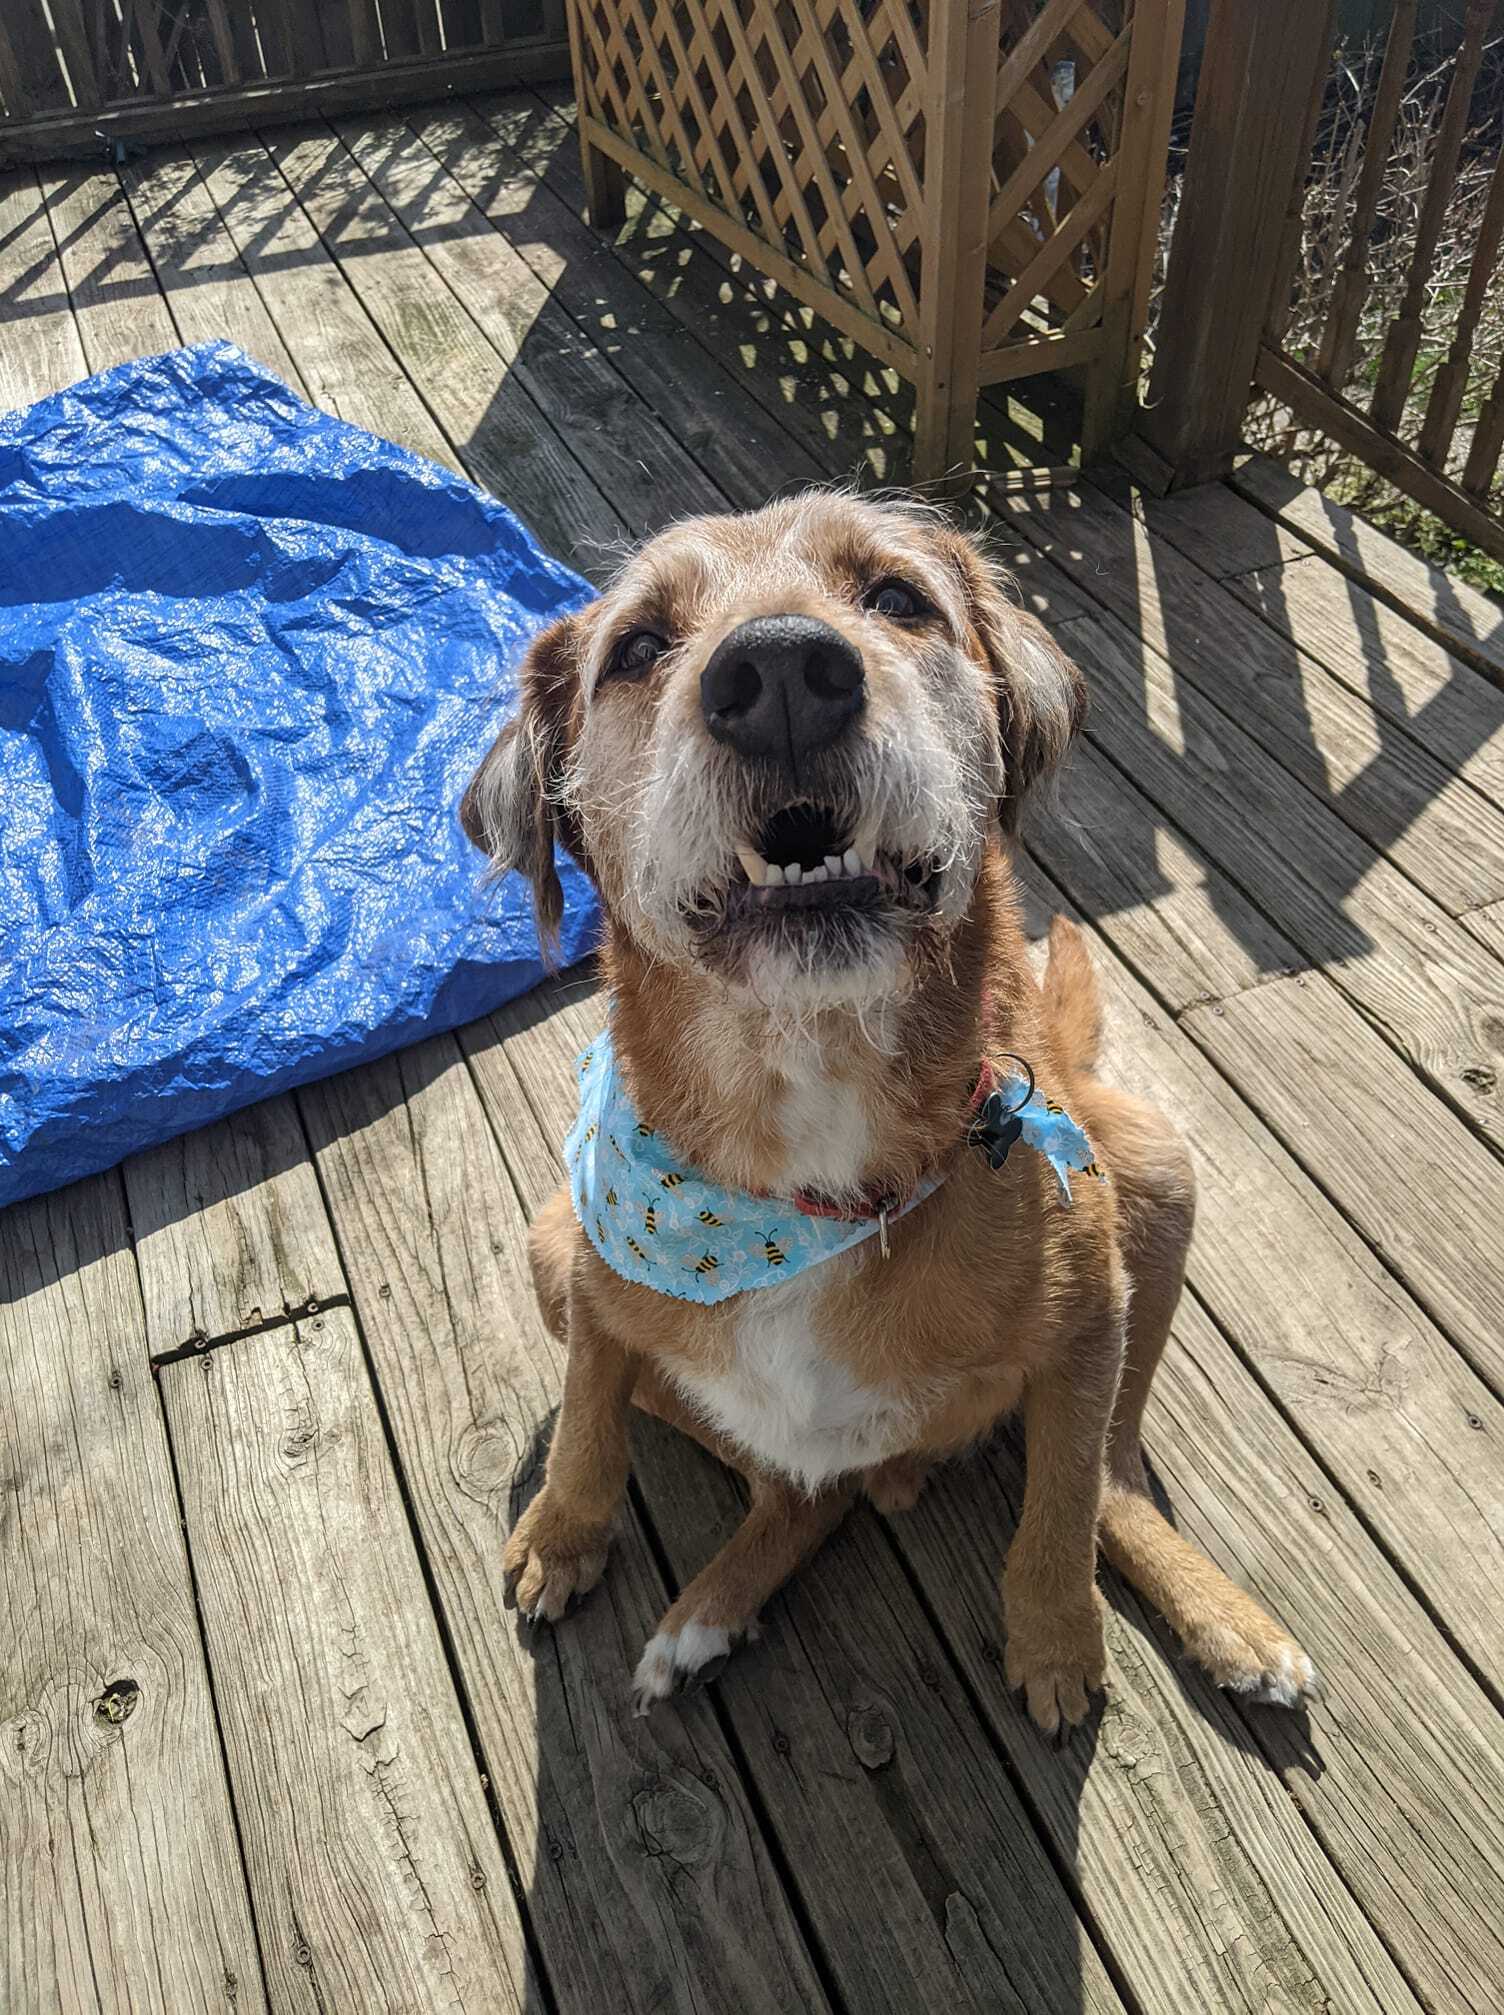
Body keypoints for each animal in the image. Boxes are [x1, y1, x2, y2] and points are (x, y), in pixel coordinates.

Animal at [459, 491, 1314, 1732]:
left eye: (897, 597)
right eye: (638, 647)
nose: (778, 671)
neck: (803, 1127)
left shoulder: (1091, 1316)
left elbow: (1061, 1502)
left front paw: (1055, 1637)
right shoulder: (593, 1275)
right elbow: (586, 1417)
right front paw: (563, 1529)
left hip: (1155, 1169)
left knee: (1110, 1473)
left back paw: (1221, 1619)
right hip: (548, 1249)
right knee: (797, 1491)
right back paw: (705, 1615)